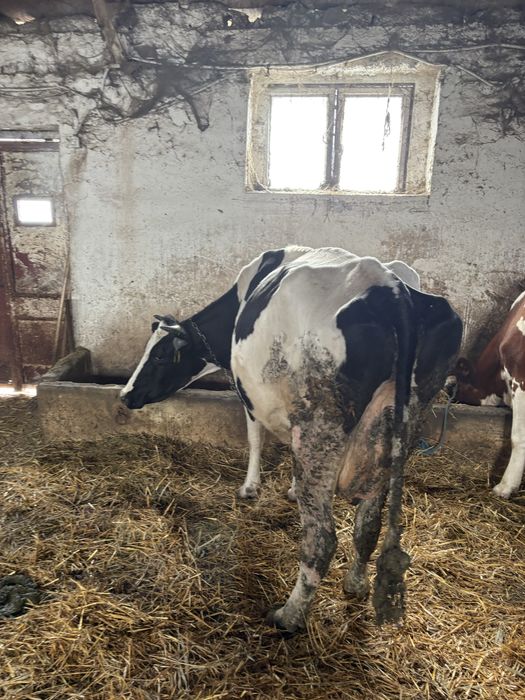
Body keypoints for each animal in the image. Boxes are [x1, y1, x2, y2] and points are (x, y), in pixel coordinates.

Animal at [121, 246, 462, 634]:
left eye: (160, 355)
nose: (125, 394)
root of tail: (391, 289)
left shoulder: (249, 394)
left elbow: (255, 438)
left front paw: (250, 488)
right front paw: (293, 489)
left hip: (320, 424)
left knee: (322, 538)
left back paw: (289, 615)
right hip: (400, 423)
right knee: (368, 524)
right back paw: (355, 583)